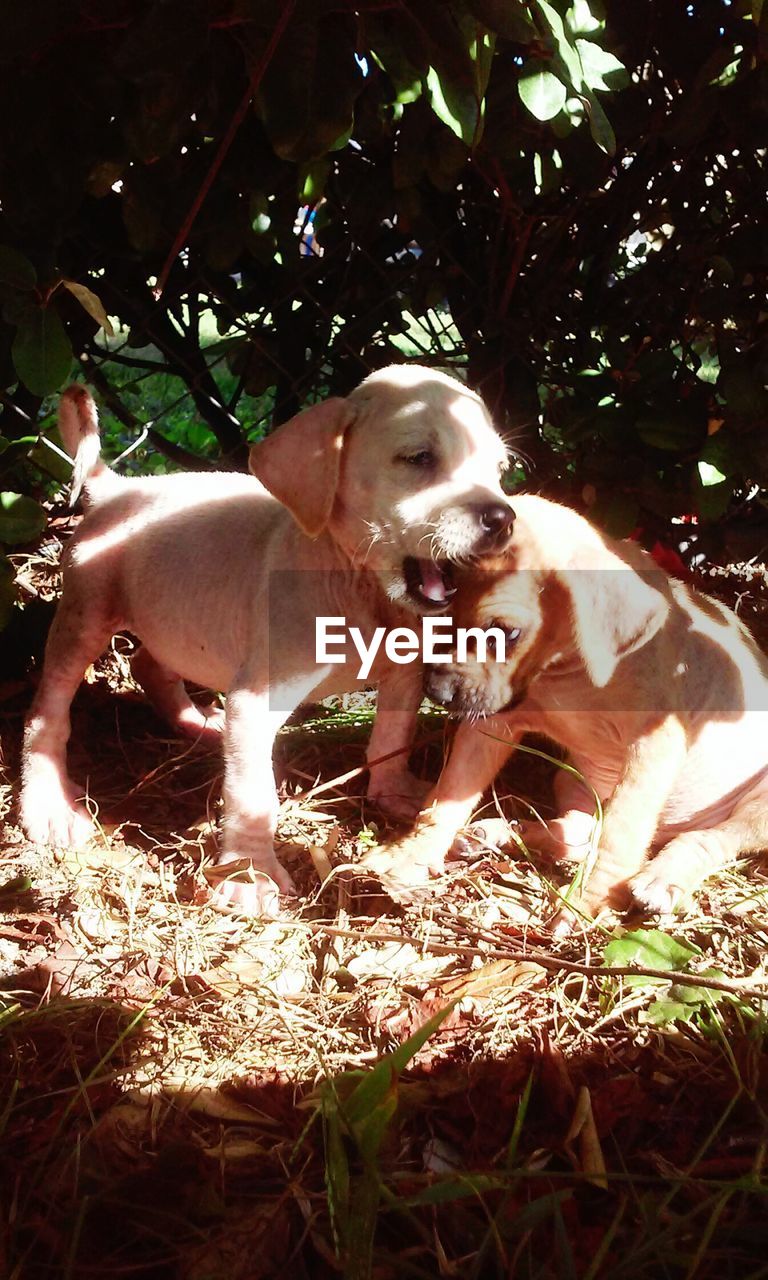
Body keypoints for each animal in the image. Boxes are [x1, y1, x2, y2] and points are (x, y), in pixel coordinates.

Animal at [19, 366, 517, 916]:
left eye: (500, 469)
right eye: (420, 459)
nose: (504, 519)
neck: (355, 585)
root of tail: (117, 489)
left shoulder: (404, 672)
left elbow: (393, 737)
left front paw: (397, 794)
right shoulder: (258, 700)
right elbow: (254, 793)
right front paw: (250, 872)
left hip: (178, 618)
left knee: (151, 665)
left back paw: (198, 722)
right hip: (84, 618)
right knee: (47, 713)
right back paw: (48, 803)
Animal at [363, 491, 768, 921]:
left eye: (506, 633)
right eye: (441, 618)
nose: (436, 693)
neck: (566, 672)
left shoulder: (654, 745)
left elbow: (621, 834)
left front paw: (591, 901)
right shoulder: (493, 724)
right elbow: (449, 794)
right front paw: (411, 853)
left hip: (755, 807)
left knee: (707, 838)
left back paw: (663, 878)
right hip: (573, 780)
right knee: (579, 832)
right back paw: (499, 833)